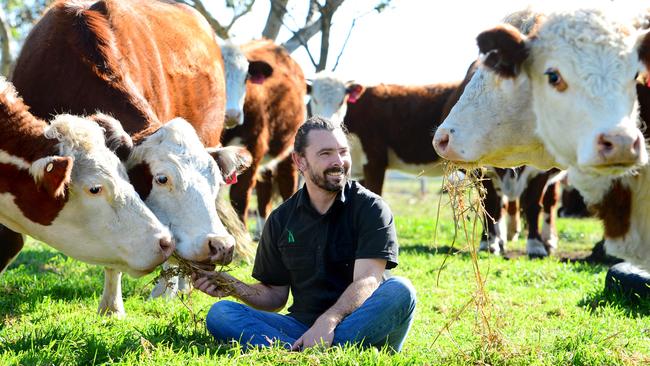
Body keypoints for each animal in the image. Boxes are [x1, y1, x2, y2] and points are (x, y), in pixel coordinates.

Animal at [220, 38, 306, 224]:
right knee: (264, 197)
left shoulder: (254, 145)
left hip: (289, 152)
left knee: (287, 185)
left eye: (246, 77)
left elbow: (239, 196)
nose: (232, 113)